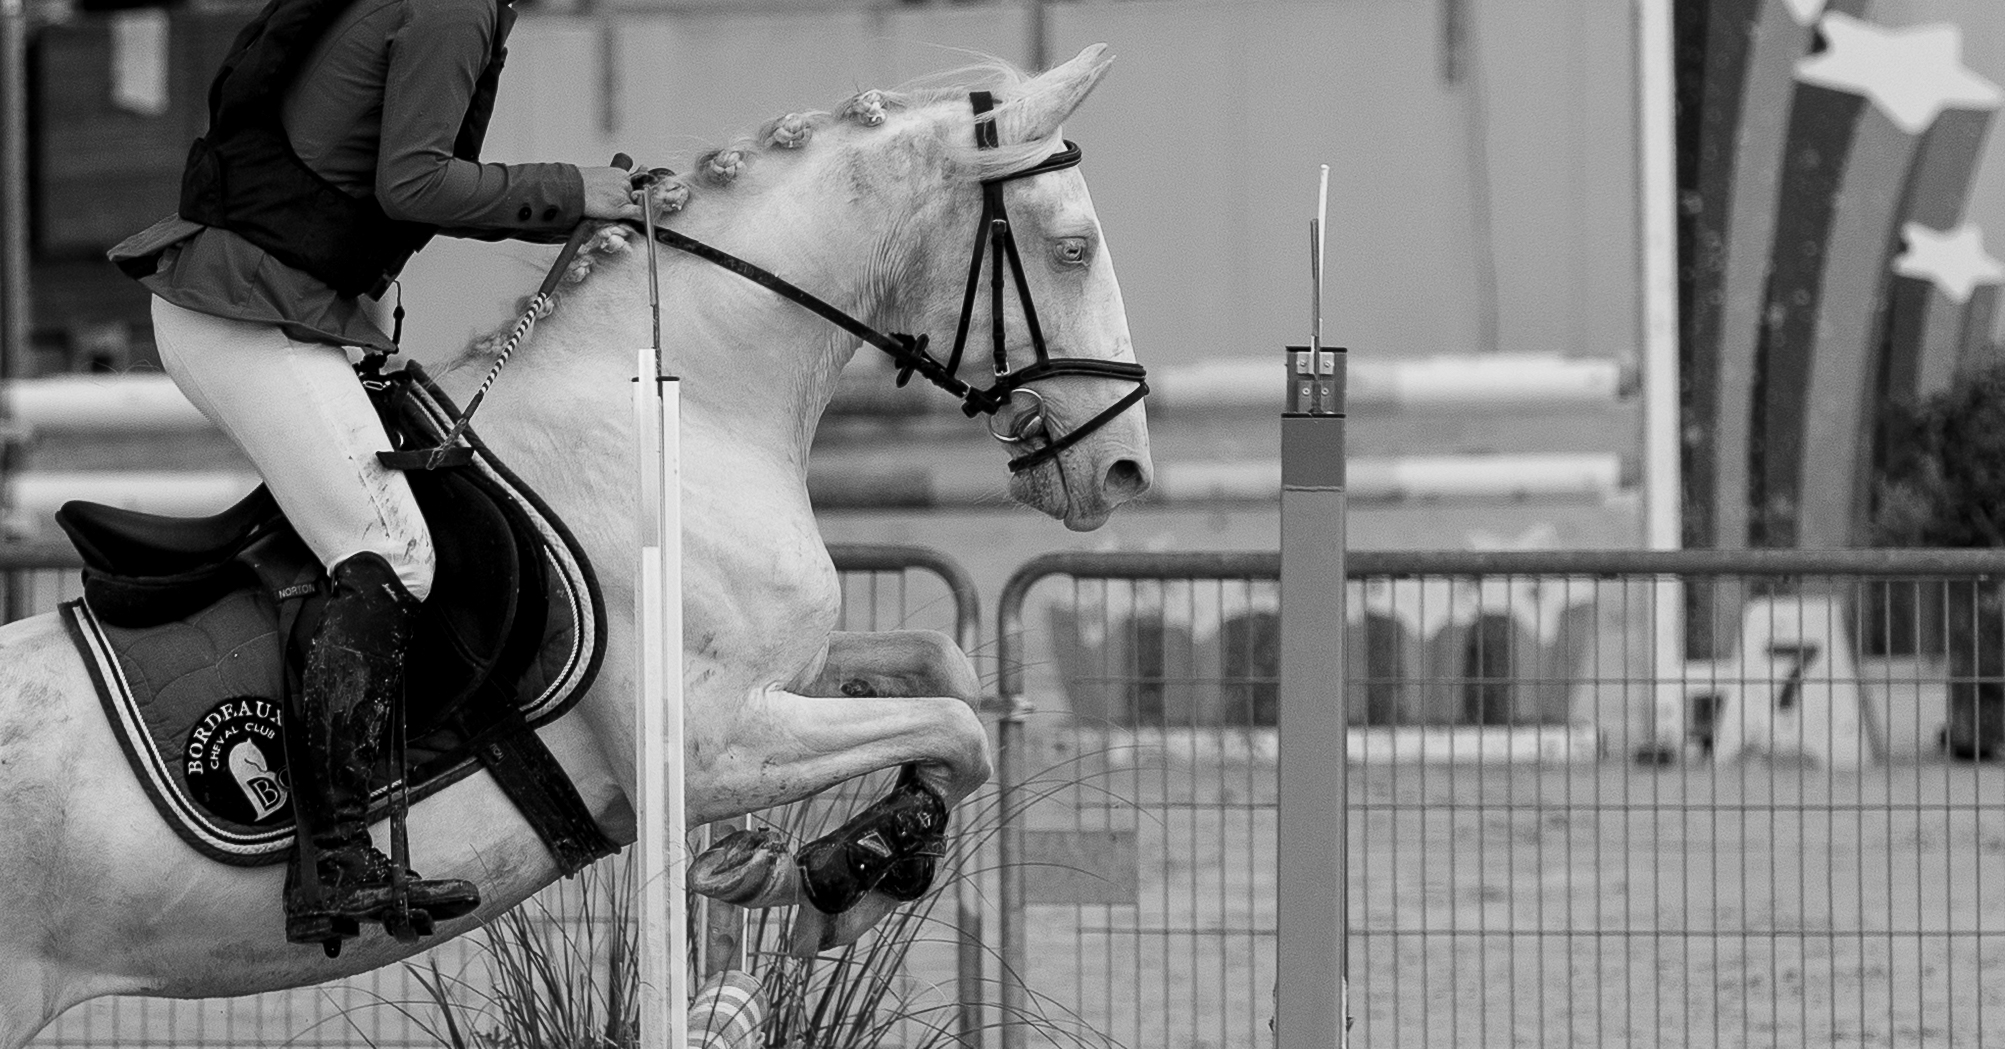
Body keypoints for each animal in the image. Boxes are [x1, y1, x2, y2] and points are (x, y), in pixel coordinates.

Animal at [0, 44, 1152, 1047]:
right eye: (1073, 248)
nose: (1123, 471)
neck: (679, 403)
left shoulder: (775, 678)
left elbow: (943, 672)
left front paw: (823, 868)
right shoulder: (712, 747)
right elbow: (956, 726)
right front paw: (834, 869)